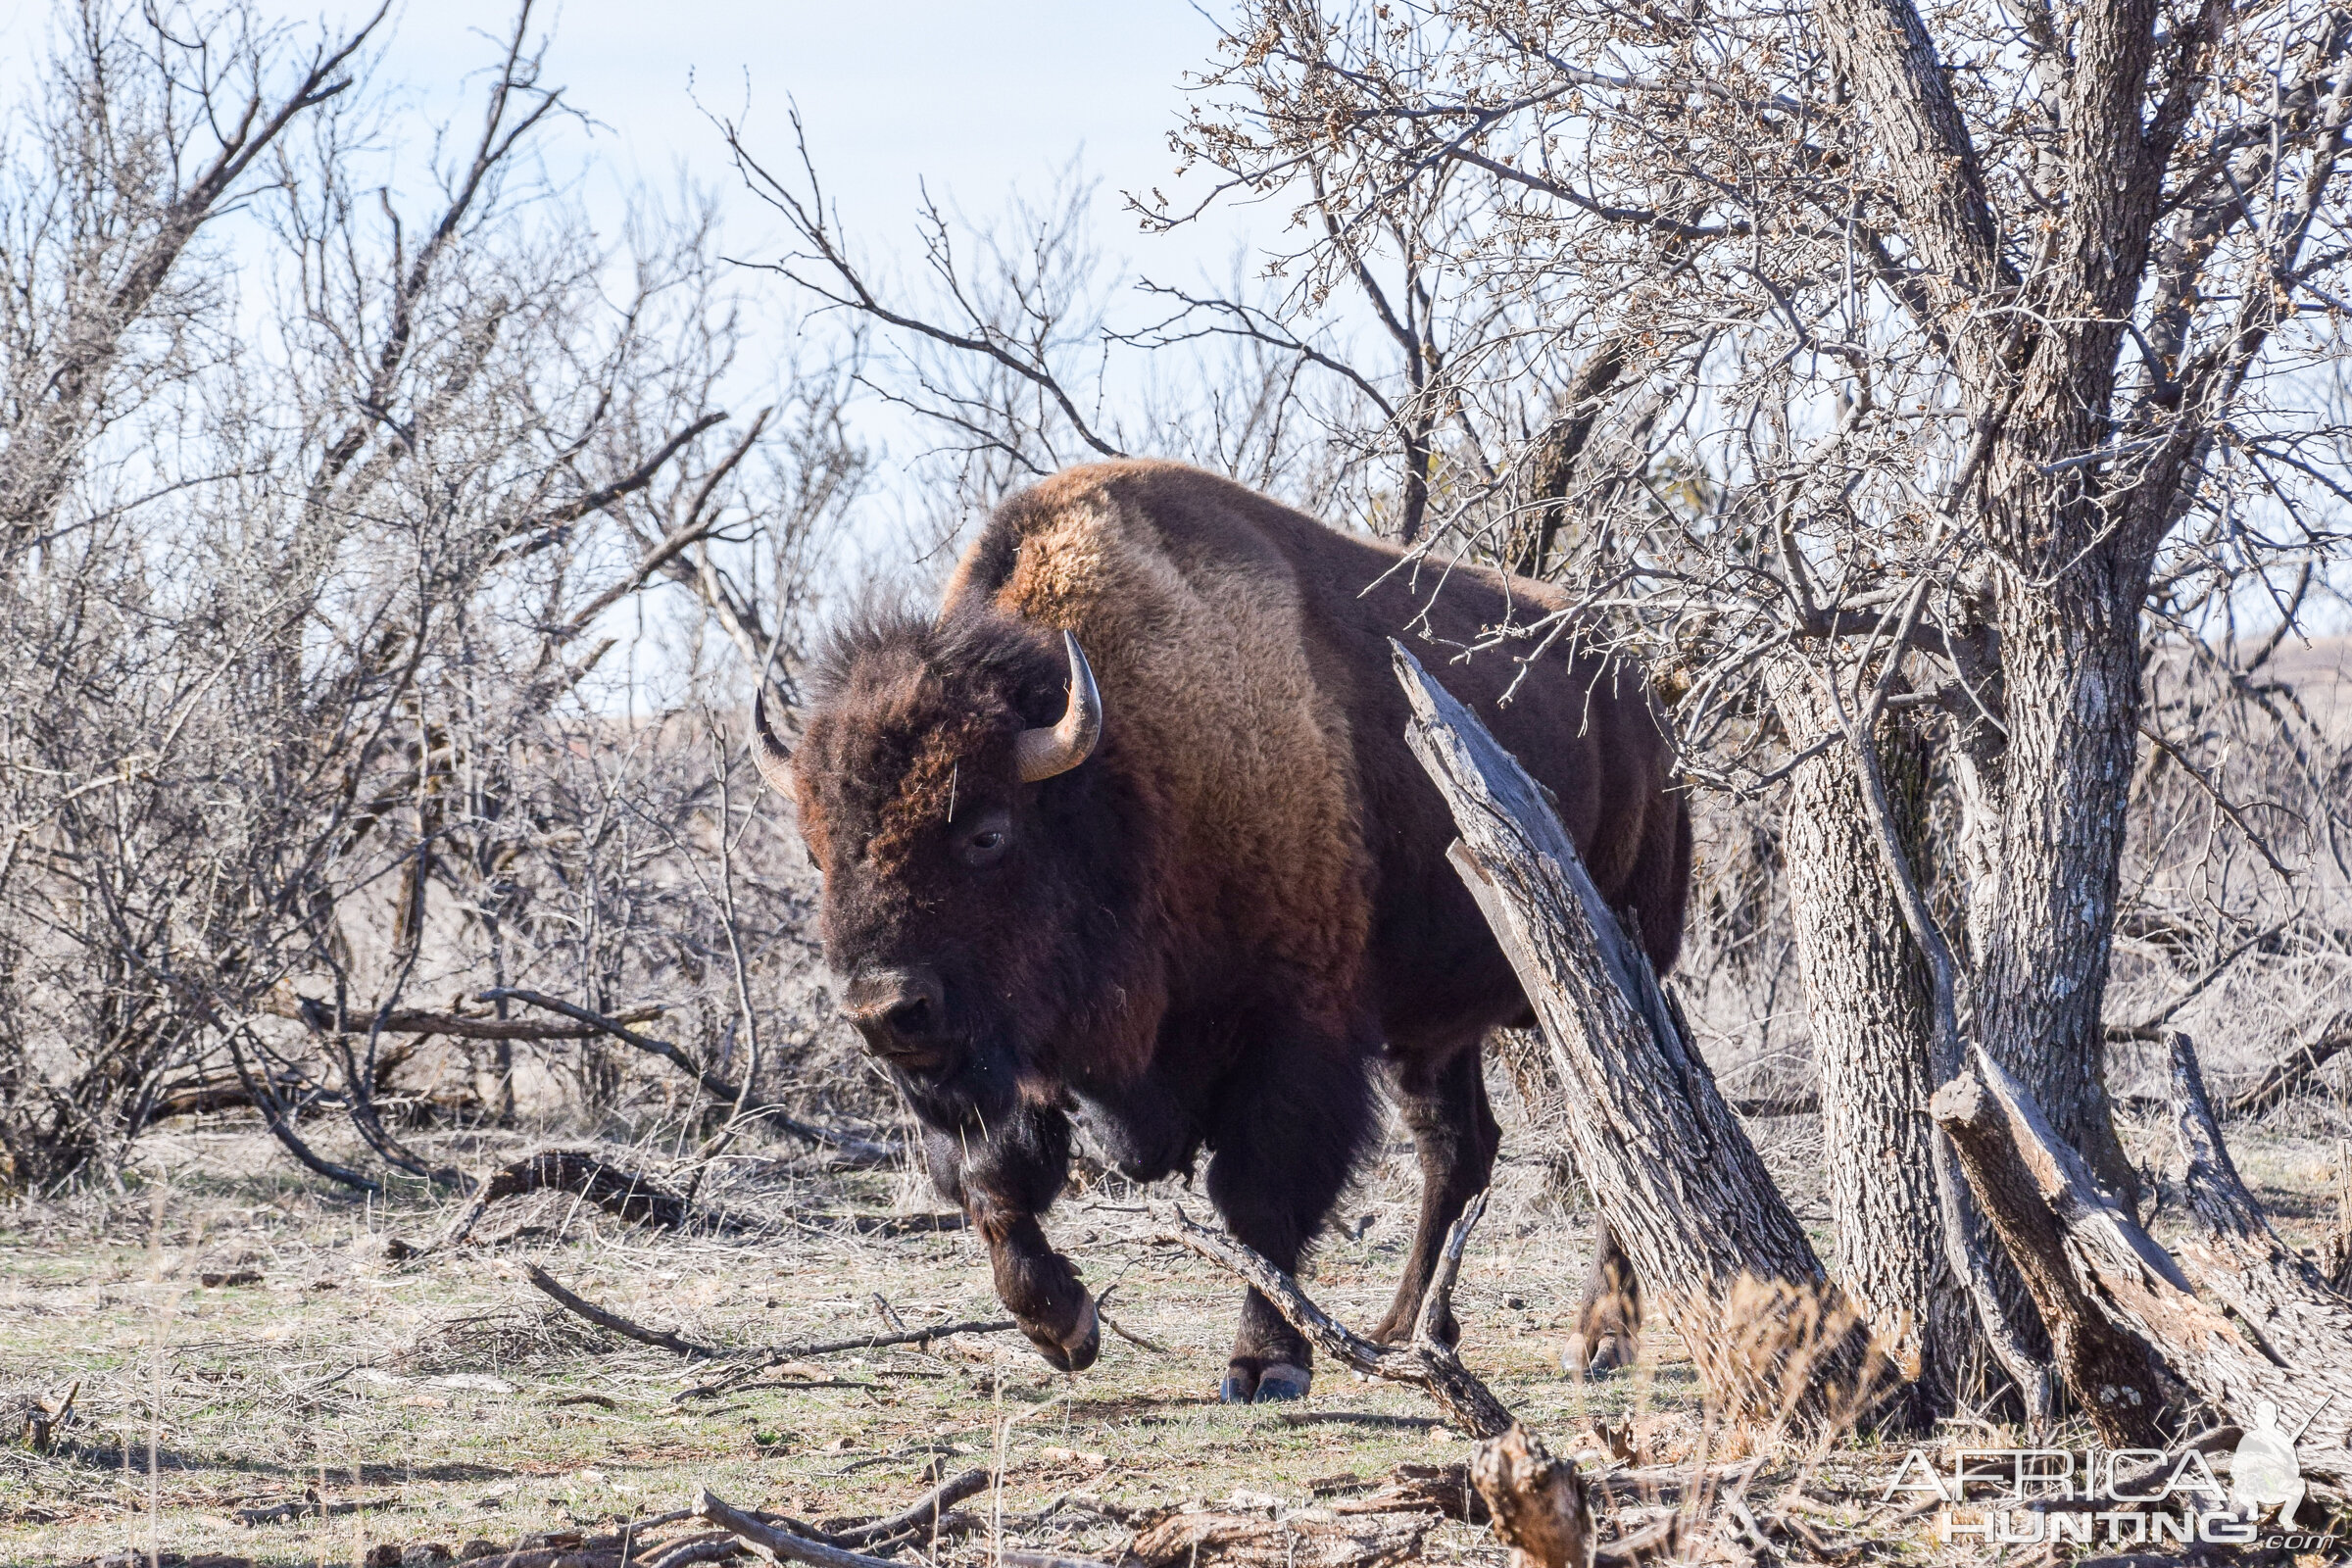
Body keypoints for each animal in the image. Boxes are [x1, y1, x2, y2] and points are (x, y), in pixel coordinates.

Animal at [761, 461, 1684, 1400]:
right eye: (815, 848)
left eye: (986, 833)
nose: (885, 1012)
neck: (1124, 779)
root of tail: (1637, 688)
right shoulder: (1023, 1060)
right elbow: (994, 1179)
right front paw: (1063, 1326)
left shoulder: (1293, 1029)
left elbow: (1258, 1196)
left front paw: (1264, 1363)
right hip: (1433, 1023)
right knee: (1457, 1149)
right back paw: (1401, 1329)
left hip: (1609, 960)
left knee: (1628, 1120)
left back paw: (1598, 1339)